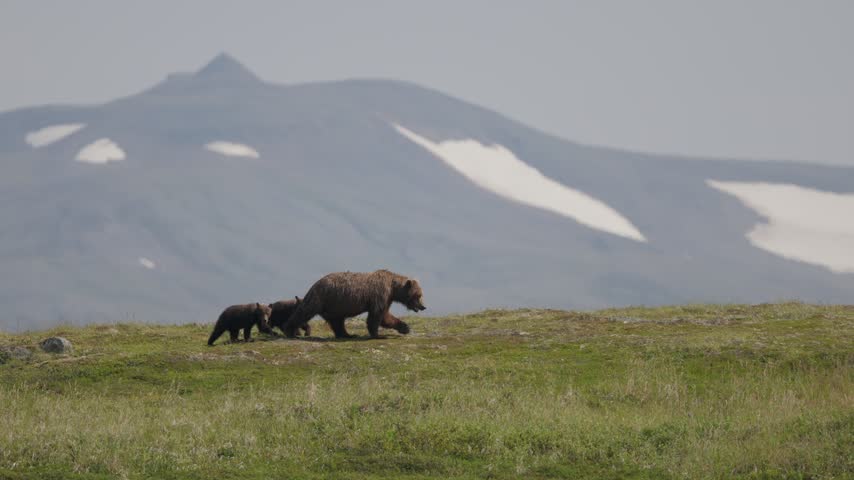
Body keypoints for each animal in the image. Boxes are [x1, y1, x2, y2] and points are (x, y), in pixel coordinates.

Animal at [283, 269, 425, 339]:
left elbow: (385, 316)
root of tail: (315, 284)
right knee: (304, 311)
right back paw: (289, 330)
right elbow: (378, 315)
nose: (423, 307)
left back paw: (347, 334)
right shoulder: (380, 295)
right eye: (418, 295)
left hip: (336, 305)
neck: (393, 288)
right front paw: (378, 335)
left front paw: (405, 327)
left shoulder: (386, 298)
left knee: (338, 322)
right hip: (322, 298)